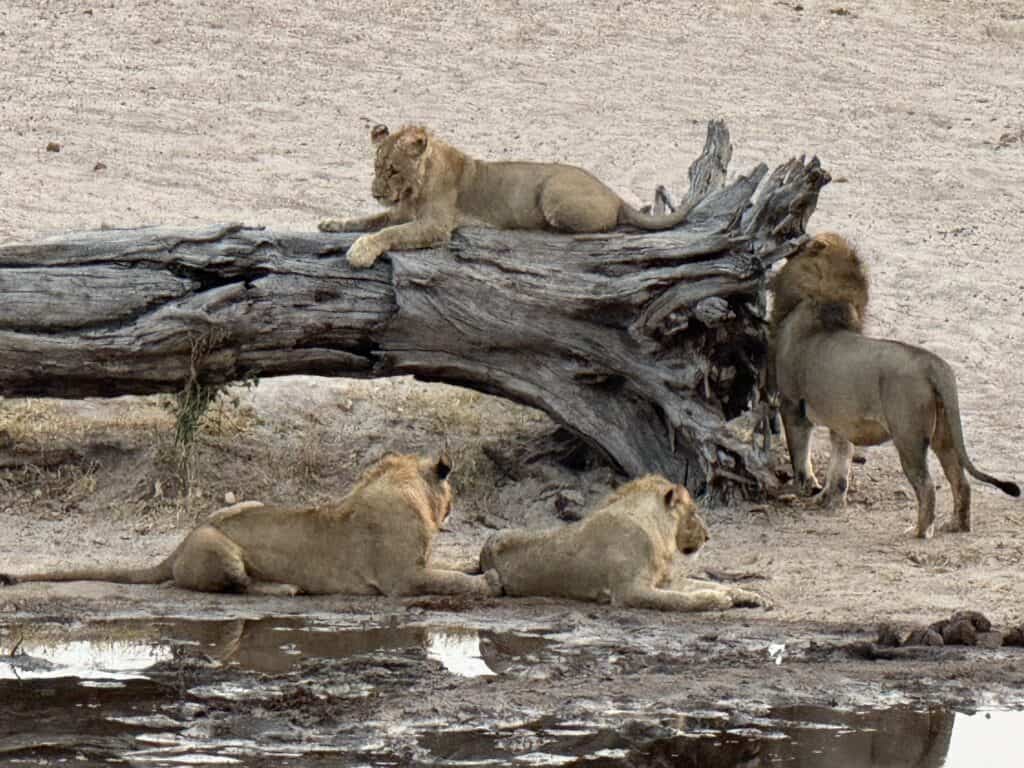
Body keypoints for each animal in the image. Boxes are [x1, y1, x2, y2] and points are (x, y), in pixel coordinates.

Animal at [0, 452, 501, 597]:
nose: (457, 506)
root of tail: (177, 545)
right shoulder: (402, 579)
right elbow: (449, 581)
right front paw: (490, 581)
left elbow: (452, 567)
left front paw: (480, 565)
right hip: (219, 546)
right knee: (240, 587)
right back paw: (286, 588)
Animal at [319, 123, 698, 268]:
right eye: (376, 166)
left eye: (394, 170)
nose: (375, 192)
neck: (414, 189)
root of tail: (613, 192)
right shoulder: (400, 212)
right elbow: (368, 220)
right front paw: (330, 223)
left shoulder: (436, 226)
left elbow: (387, 232)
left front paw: (360, 251)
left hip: (553, 196)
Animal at [478, 475, 772, 611]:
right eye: (694, 512)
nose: (708, 536)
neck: (658, 535)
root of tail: (484, 548)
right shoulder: (630, 590)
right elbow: (679, 600)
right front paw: (717, 600)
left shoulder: (663, 580)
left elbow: (711, 583)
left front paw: (753, 596)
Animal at [771, 232, 1020, 538]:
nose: (795, 238)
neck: (818, 298)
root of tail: (932, 363)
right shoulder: (841, 418)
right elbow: (840, 462)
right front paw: (830, 500)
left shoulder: (792, 403)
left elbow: (800, 452)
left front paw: (807, 487)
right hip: (945, 435)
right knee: (960, 481)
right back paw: (956, 525)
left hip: (908, 435)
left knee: (927, 486)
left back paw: (920, 531)